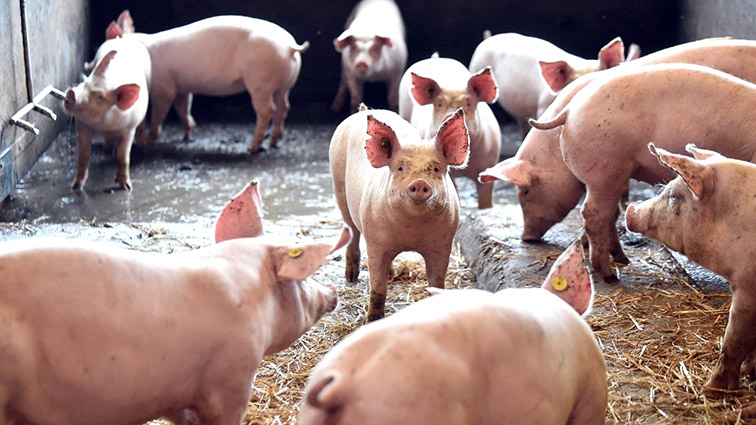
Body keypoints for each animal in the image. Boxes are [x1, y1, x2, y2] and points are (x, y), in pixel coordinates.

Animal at [63, 36, 150, 190]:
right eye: (85, 83)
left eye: (100, 97)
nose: (72, 93)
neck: (104, 124)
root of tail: (123, 38)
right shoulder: (82, 125)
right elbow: (83, 156)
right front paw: (76, 186)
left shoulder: (129, 129)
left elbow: (123, 157)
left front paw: (126, 187)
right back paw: (107, 148)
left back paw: (143, 145)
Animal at [108, 11, 309, 153]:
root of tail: (290, 46)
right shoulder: (182, 86)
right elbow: (183, 107)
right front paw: (187, 135)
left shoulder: (163, 85)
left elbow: (160, 111)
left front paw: (147, 142)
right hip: (284, 85)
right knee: (284, 107)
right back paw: (273, 142)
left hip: (260, 83)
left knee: (268, 110)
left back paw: (253, 147)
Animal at [330, 107, 470, 321]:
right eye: (400, 168)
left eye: (436, 168)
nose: (420, 182)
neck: (411, 231)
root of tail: (365, 110)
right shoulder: (376, 244)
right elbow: (378, 288)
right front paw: (373, 321)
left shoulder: (442, 245)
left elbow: (437, 283)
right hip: (339, 187)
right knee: (352, 231)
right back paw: (351, 277)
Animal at [522, 63, 756, 282]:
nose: (526, 236)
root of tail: (569, 110)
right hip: (604, 170)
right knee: (594, 214)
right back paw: (610, 275)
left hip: (613, 175)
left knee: (609, 214)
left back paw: (622, 259)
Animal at [625, 145, 756, 414]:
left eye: (674, 196)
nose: (630, 210)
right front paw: (750, 373)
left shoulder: (748, 289)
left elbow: (733, 341)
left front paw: (709, 392)